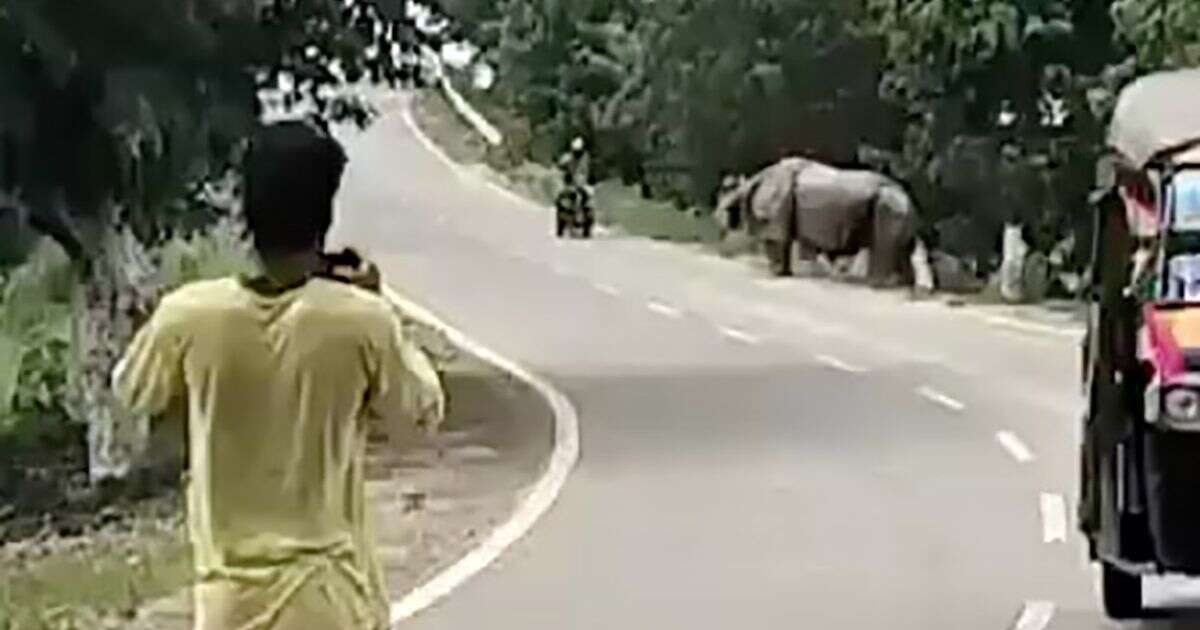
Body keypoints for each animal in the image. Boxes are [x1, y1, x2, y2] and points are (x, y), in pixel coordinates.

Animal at [715, 157, 931, 290]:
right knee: (904, 247)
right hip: (897, 205)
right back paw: (903, 286)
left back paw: (876, 285)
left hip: (888, 203)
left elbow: (777, 242)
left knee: (883, 245)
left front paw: (777, 273)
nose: (714, 217)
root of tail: (908, 199)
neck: (749, 185)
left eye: (726, 208)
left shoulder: (776, 218)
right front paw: (789, 273)